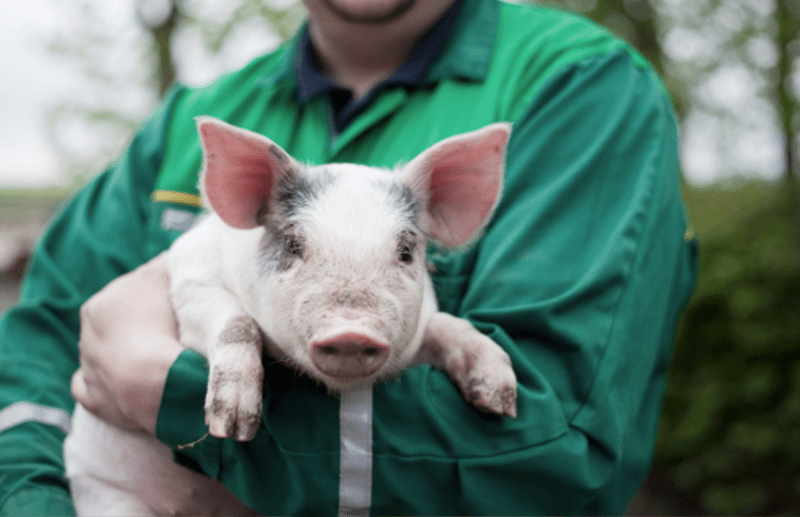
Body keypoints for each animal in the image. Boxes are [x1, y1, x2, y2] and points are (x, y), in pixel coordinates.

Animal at [64, 118, 517, 516]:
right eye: (294, 245)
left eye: (406, 251)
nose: (351, 331)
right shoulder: (190, 283)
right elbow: (236, 322)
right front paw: (233, 428)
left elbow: (450, 325)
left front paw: (502, 403)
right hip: (104, 492)